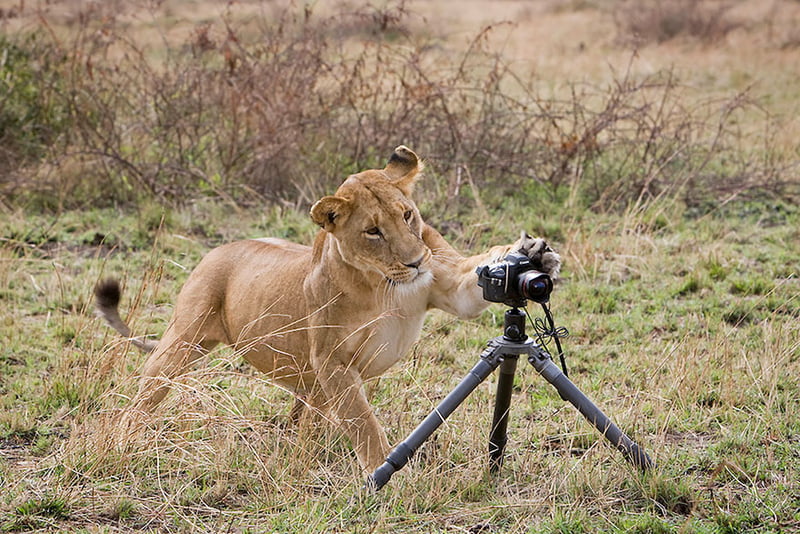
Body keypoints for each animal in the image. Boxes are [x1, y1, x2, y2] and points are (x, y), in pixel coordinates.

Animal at [95, 146, 561, 473]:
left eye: (407, 215)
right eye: (373, 231)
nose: (415, 262)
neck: (381, 286)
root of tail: (217, 249)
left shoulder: (449, 286)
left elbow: (475, 285)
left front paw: (534, 254)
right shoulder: (333, 360)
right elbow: (364, 425)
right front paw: (383, 476)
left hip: (306, 382)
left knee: (306, 419)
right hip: (181, 341)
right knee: (143, 397)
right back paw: (121, 442)